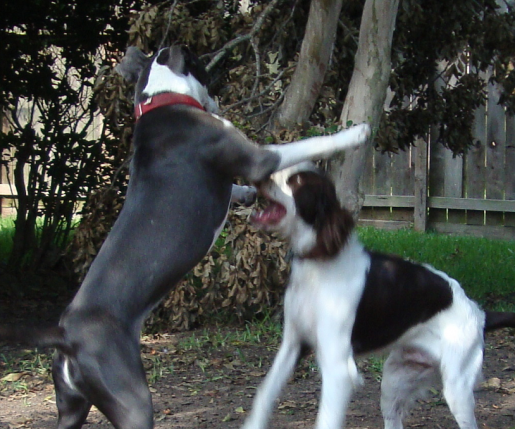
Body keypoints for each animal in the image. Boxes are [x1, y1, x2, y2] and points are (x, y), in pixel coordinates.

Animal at [0, 46, 370, 428]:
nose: (219, 90)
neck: (161, 99)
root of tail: (66, 336)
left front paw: (245, 194)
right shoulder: (258, 158)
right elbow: (306, 145)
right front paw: (354, 134)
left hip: (72, 405)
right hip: (132, 401)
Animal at [245, 161, 515, 428]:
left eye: (297, 181)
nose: (257, 174)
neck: (318, 266)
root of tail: (479, 313)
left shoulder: (338, 367)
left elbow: (327, 418)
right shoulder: (292, 344)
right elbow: (264, 393)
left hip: (457, 389)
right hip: (395, 380)